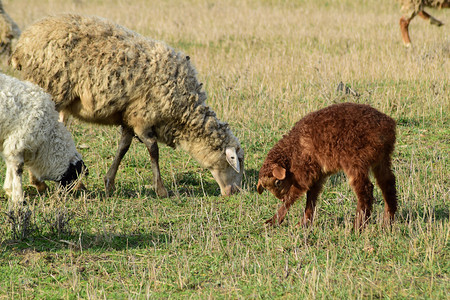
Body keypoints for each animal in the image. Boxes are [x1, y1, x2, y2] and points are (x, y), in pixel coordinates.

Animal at [0, 72, 87, 213]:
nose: (65, 195)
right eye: (73, 174)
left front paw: (9, 190)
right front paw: (19, 200)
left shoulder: (10, 143)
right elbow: (18, 169)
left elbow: (10, 166)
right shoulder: (17, 141)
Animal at [10, 13, 244, 197]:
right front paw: (161, 190)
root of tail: (23, 43)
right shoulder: (142, 117)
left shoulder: (129, 117)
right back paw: (39, 183)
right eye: (236, 161)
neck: (182, 112)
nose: (235, 192)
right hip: (49, 86)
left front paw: (109, 183)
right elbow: (153, 150)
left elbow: (123, 147)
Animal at [256, 102, 398, 229]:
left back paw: (358, 226)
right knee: (388, 183)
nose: (280, 198)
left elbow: (292, 196)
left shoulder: (304, 172)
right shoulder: (318, 174)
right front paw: (304, 223)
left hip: (355, 160)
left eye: (277, 182)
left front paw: (273, 221)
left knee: (366, 189)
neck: (292, 150)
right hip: (381, 158)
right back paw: (388, 221)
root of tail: (388, 127)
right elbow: (311, 197)